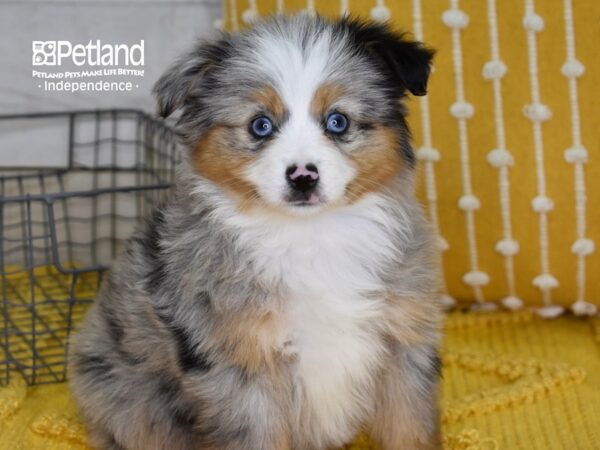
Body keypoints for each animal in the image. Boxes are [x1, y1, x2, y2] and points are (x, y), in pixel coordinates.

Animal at [71, 14, 446, 450]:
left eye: (338, 122)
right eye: (260, 125)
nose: (303, 176)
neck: (310, 237)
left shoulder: (403, 346)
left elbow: (408, 428)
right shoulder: (240, 365)